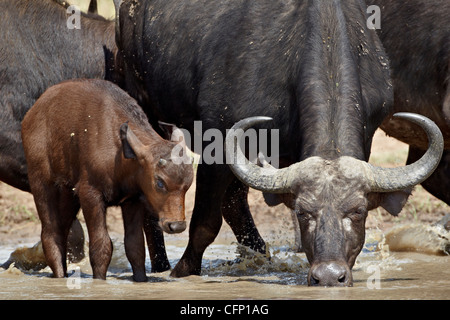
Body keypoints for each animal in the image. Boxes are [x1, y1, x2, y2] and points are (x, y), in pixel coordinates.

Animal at [21, 79, 193, 282]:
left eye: (188, 185)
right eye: (159, 182)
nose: (177, 225)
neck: (120, 154)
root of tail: (30, 115)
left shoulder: (132, 200)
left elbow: (135, 247)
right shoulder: (90, 194)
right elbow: (101, 246)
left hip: (68, 194)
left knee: (62, 232)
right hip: (41, 183)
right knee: (50, 234)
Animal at [115, 0, 442, 284]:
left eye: (358, 211)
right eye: (303, 213)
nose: (328, 276)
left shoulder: (369, 133)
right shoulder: (218, 142)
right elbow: (206, 223)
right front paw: (183, 272)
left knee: (234, 203)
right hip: (144, 106)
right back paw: (159, 265)